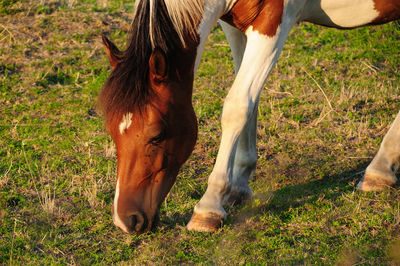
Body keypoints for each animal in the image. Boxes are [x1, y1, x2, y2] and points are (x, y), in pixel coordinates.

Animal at [99, 0, 400, 233]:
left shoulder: (273, 23)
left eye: (157, 135)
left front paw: (209, 207)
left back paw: (379, 168)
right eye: (112, 132)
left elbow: (237, 106)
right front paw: (239, 186)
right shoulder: (235, 25)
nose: (126, 220)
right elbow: (248, 98)